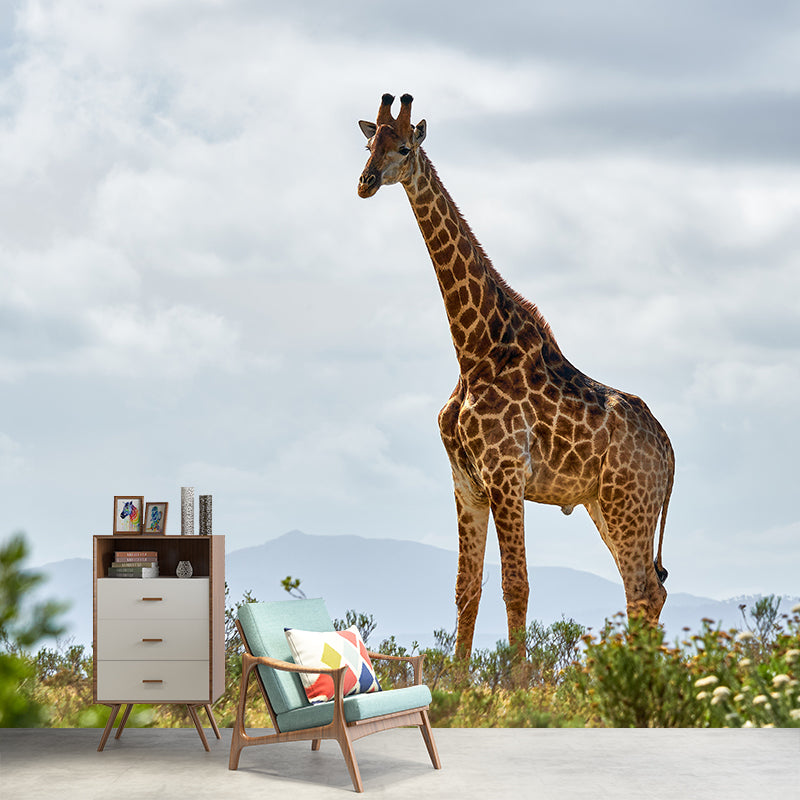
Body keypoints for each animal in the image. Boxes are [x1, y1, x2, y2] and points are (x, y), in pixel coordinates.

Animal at [357, 93, 675, 659]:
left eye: (404, 147)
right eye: (369, 143)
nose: (366, 181)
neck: (473, 350)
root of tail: (668, 448)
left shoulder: (506, 474)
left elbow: (516, 585)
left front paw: (516, 679)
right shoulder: (467, 481)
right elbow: (466, 587)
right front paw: (459, 679)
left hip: (629, 504)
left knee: (642, 590)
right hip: (605, 505)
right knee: (646, 589)